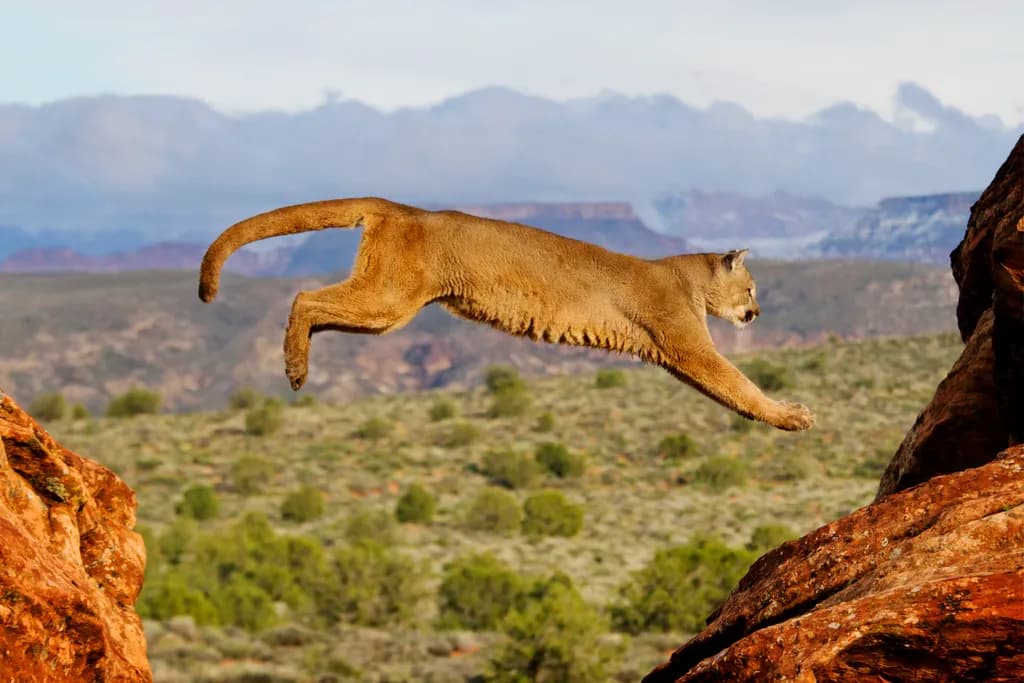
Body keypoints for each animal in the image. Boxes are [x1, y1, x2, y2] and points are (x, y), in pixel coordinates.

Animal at [199, 197, 815, 431]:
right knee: (303, 299)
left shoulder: (671, 353)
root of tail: (404, 209)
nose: (757, 313)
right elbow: (737, 382)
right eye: (751, 287)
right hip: (388, 301)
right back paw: (295, 368)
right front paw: (791, 415)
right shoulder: (687, 344)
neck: (689, 278)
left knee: (318, 308)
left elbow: (729, 390)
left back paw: (296, 366)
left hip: (387, 308)